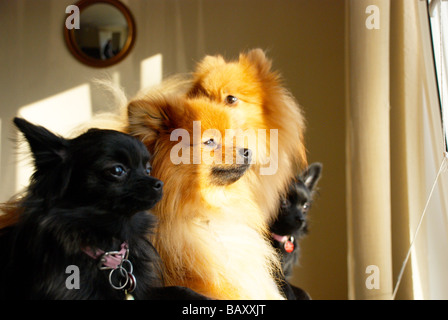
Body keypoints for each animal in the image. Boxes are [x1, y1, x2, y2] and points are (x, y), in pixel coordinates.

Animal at [0, 118, 206, 300]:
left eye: (148, 169)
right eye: (117, 170)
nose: (159, 183)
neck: (108, 249)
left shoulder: (141, 290)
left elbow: (180, 289)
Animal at [270, 162, 322, 300]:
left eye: (306, 206)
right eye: (284, 203)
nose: (302, 219)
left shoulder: (285, 274)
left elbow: (303, 292)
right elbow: (287, 288)